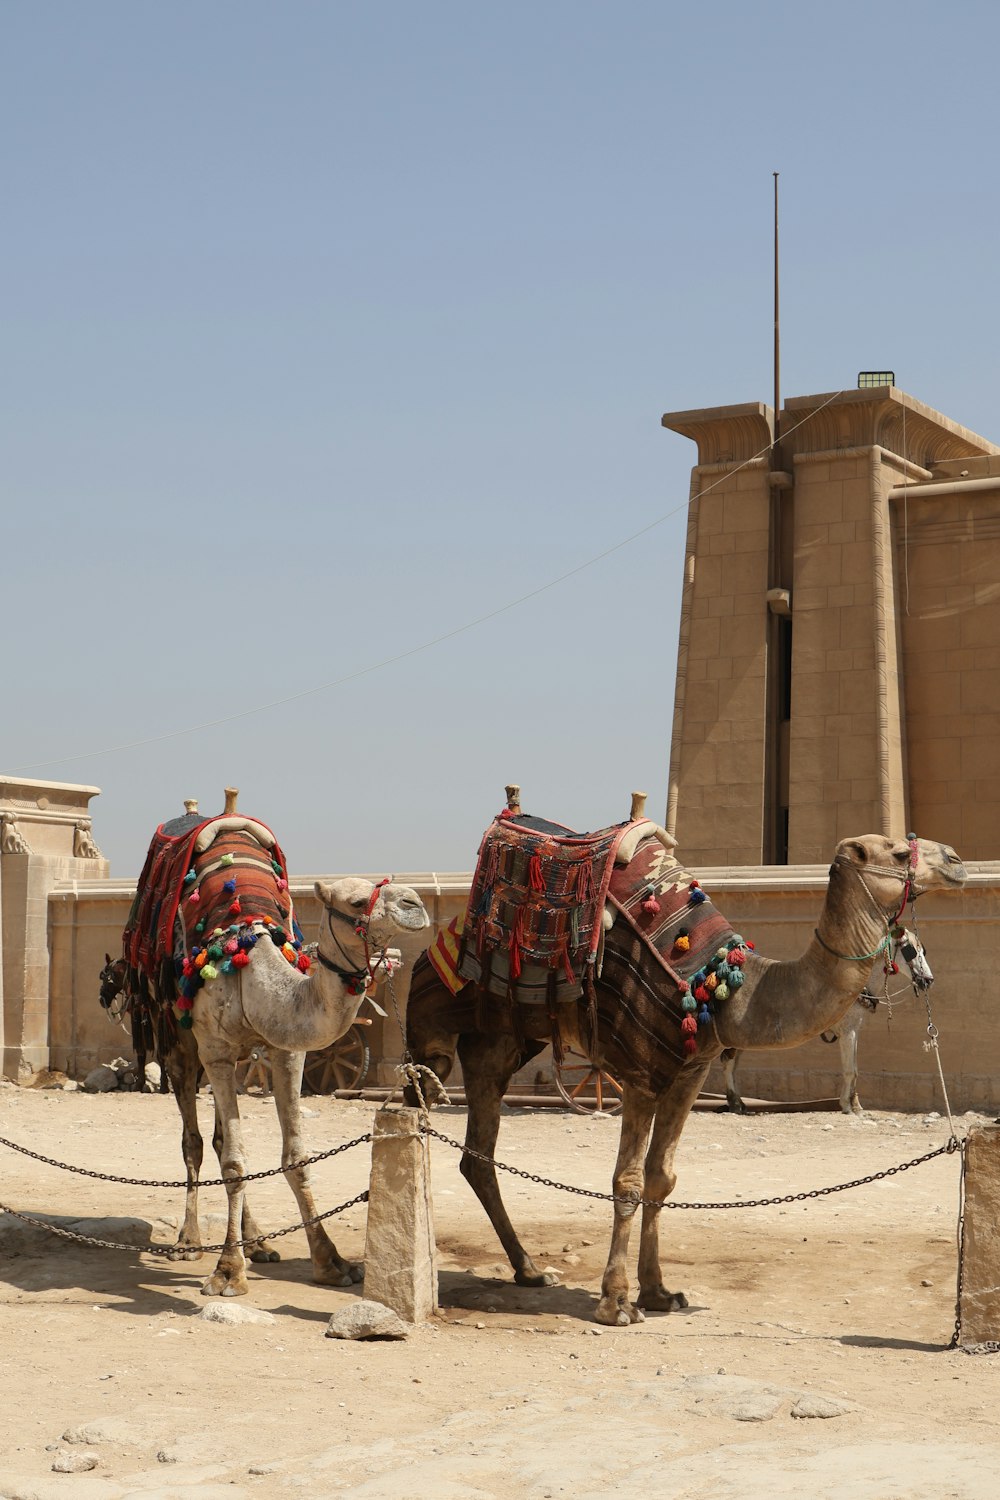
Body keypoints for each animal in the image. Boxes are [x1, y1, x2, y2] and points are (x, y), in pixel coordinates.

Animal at [122, 792, 428, 1296]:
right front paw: (227, 1272)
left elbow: (296, 1158)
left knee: (219, 1137)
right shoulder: (217, 1052)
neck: (251, 963)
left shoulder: (287, 1051)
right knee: (194, 1141)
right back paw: (190, 1241)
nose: (415, 902)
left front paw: (333, 1263)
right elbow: (233, 1162)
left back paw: (261, 1242)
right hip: (178, 1044)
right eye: (358, 899)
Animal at [404, 810, 959, 1326]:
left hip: (499, 1043)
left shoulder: (689, 1073)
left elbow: (661, 1178)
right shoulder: (639, 1074)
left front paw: (659, 1293)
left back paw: (530, 1270)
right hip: (432, 1031)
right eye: (899, 853)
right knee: (414, 1116)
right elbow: (627, 1181)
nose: (954, 859)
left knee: (477, 1156)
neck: (726, 992)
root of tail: (438, 944)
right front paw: (616, 1302)